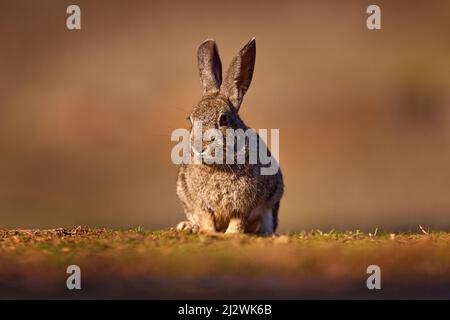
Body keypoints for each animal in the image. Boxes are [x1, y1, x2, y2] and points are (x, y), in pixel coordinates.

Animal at [175, 38, 284, 235]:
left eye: (224, 119)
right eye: (191, 120)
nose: (200, 147)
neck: (218, 166)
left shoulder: (244, 206)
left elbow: (238, 221)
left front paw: (232, 234)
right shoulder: (201, 205)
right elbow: (206, 218)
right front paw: (207, 231)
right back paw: (188, 226)